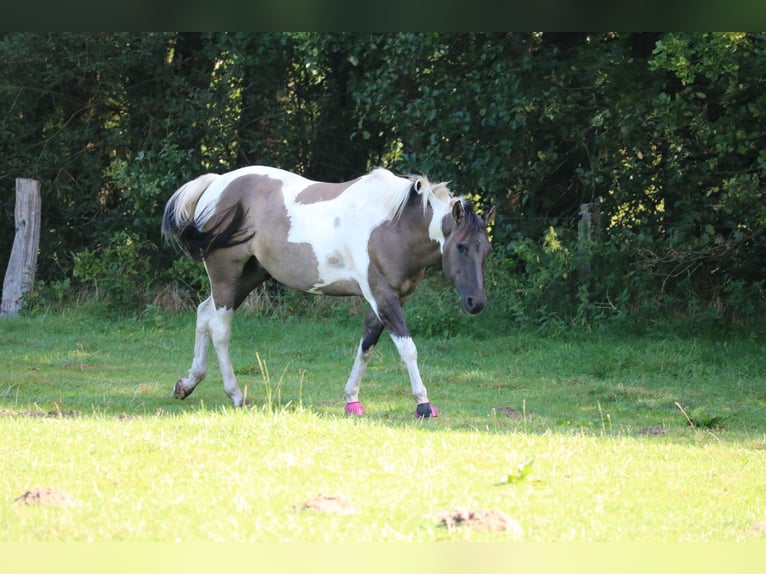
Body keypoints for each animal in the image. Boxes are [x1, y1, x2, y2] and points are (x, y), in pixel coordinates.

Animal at [161, 165, 495, 418]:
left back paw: (187, 384)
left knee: (204, 313)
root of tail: (216, 183)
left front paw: (352, 400)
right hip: (226, 274)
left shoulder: (385, 299)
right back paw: (235, 394)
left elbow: (366, 346)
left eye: (486, 249)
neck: (394, 226)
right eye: (461, 247)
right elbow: (407, 348)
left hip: (247, 277)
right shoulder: (383, 296)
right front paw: (423, 404)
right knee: (220, 329)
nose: (475, 303)